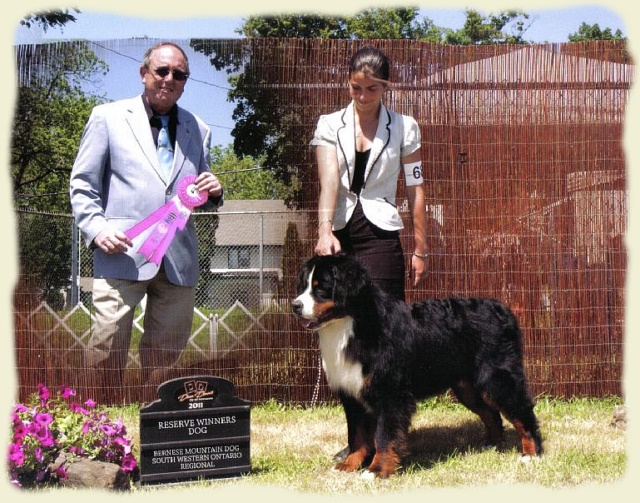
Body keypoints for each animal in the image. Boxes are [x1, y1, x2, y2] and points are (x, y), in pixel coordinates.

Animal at [292, 254, 544, 478]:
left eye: (321, 288)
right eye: (304, 286)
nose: (295, 305)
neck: (353, 325)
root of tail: (503, 309)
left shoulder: (391, 393)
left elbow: (384, 436)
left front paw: (376, 470)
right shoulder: (352, 394)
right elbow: (357, 437)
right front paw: (350, 464)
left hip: (497, 378)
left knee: (523, 413)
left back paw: (531, 454)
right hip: (468, 388)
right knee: (492, 414)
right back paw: (491, 445)